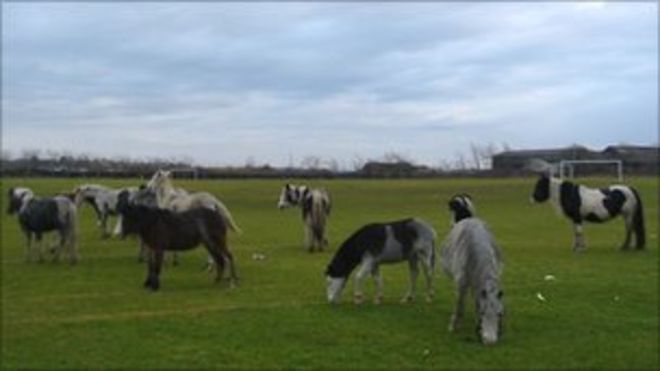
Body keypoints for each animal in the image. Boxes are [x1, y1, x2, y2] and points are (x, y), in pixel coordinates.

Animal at [440, 196, 502, 348]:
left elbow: (477, 299)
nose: (490, 341)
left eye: (499, 314)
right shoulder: (461, 283)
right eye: (483, 313)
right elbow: (459, 306)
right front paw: (453, 326)